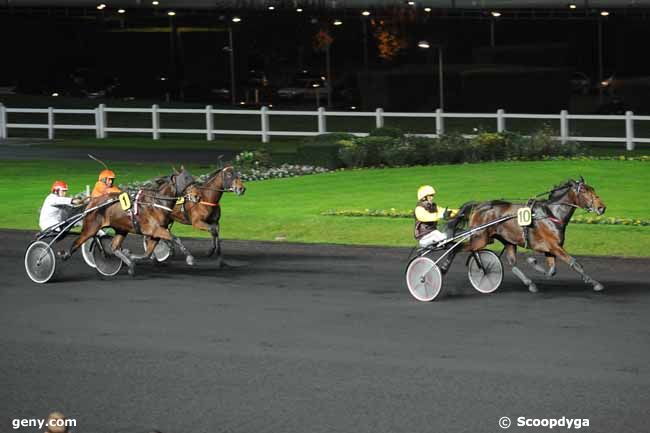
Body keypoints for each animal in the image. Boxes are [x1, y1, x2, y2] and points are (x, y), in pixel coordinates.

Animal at [58, 166, 195, 274]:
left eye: (192, 178)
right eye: (186, 179)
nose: (196, 196)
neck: (157, 203)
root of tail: (91, 203)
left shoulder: (155, 233)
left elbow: (148, 253)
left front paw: (132, 257)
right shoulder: (155, 230)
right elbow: (175, 238)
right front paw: (189, 258)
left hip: (121, 229)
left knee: (114, 247)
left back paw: (130, 264)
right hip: (91, 228)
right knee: (77, 241)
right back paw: (65, 255)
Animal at [442, 177, 604, 292]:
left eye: (593, 189)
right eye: (584, 191)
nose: (602, 208)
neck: (551, 214)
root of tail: (478, 205)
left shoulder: (550, 249)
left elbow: (552, 271)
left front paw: (533, 263)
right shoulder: (554, 246)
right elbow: (575, 263)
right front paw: (595, 283)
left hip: (507, 241)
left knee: (512, 263)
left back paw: (529, 283)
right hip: (480, 238)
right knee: (456, 247)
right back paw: (444, 267)